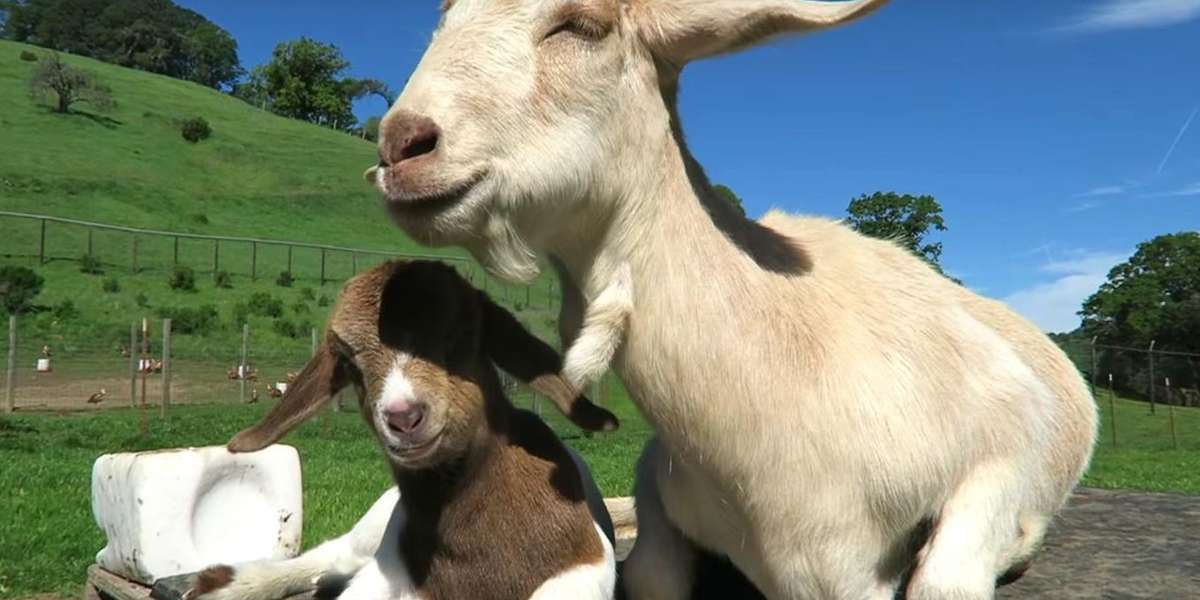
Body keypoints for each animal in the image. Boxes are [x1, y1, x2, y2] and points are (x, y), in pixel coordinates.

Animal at [186, 260, 620, 600]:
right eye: (348, 362)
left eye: (462, 334)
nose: (403, 417)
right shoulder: (388, 570)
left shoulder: (579, 572)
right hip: (377, 522)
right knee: (332, 553)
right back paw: (225, 583)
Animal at [367, 1, 1098, 598]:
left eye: (582, 24)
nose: (401, 143)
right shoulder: (662, 471)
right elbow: (652, 571)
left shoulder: (1006, 437)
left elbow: (946, 579)